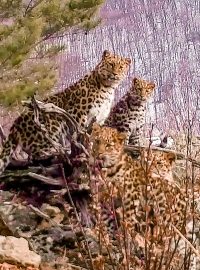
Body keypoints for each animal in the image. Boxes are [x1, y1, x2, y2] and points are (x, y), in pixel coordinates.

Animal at [0, 49, 131, 174]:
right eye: (111, 64)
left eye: (121, 67)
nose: (115, 74)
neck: (108, 88)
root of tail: (15, 123)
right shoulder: (78, 112)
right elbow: (79, 132)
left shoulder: (99, 119)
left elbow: (94, 136)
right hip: (50, 125)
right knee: (36, 153)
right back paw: (59, 151)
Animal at [90, 124, 200, 268]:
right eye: (97, 141)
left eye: (108, 145)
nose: (99, 154)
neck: (107, 171)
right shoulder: (103, 204)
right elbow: (109, 227)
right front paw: (112, 248)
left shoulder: (130, 202)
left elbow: (127, 229)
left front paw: (126, 252)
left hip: (170, 226)